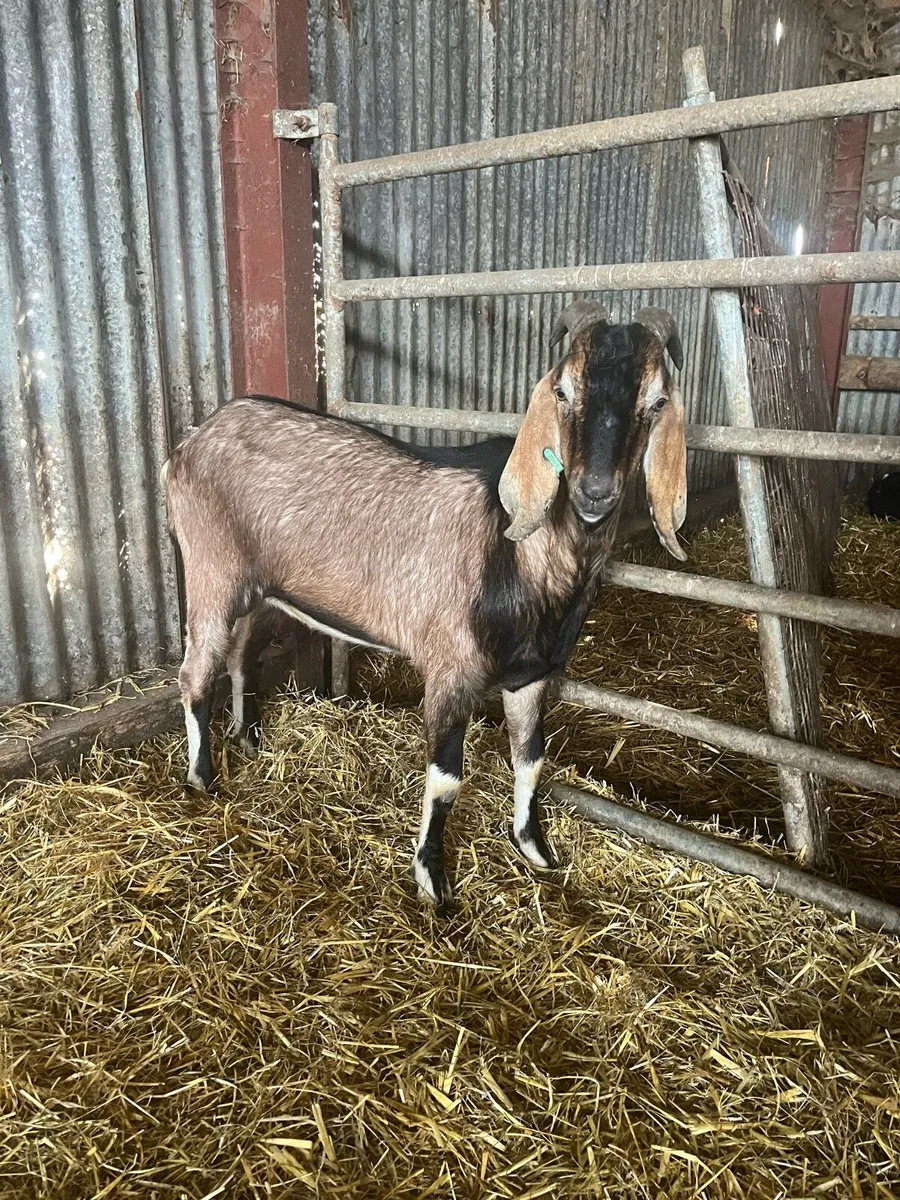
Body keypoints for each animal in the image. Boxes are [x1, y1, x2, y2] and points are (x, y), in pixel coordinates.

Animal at [163, 302, 688, 906]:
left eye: (657, 402)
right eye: (563, 390)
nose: (594, 491)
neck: (520, 558)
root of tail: (190, 443)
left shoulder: (533, 675)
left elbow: (531, 760)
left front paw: (534, 847)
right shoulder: (451, 672)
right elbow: (446, 781)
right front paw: (432, 879)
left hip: (253, 587)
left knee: (239, 652)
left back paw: (247, 740)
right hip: (211, 570)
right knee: (195, 671)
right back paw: (202, 776)